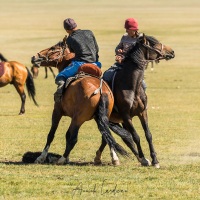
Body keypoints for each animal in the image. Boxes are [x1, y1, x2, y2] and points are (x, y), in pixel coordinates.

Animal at [95, 33, 175, 168]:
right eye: (154, 44)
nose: (172, 51)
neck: (132, 86)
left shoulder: (142, 113)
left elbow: (148, 135)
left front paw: (154, 160)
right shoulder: (127, 116)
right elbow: (135, 137)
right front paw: (144, 159)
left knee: (108, 138)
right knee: (109, 136)